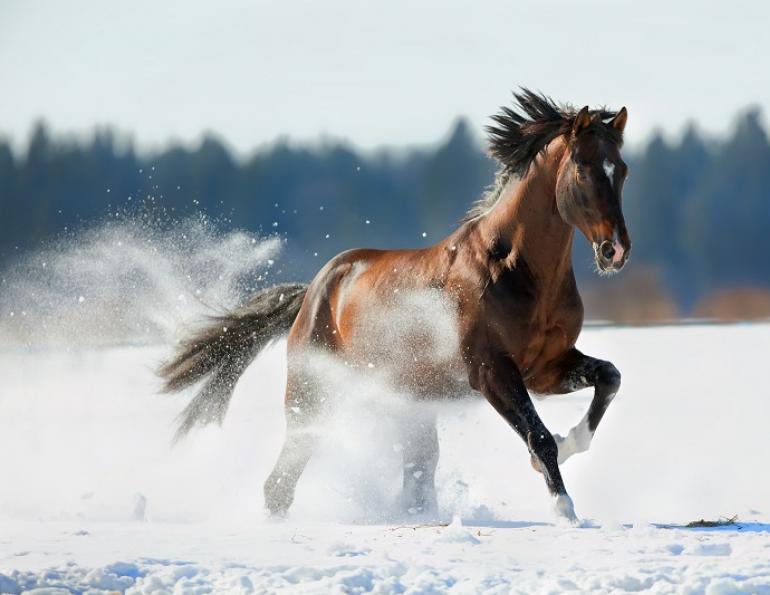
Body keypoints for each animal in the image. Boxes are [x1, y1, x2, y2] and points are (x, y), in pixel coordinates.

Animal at [158, 89, 631, 523]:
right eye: (583, 169)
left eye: (622, 169)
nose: (615, 250)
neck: (512, 268)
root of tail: (313, 292)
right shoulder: (491, 372)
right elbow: (538, 436)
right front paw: (565, 509)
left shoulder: (545, 367)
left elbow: (609, 377)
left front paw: (570, 447)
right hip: (312, 397)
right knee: (281, 481)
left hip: (409, 405)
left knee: (415, 473)